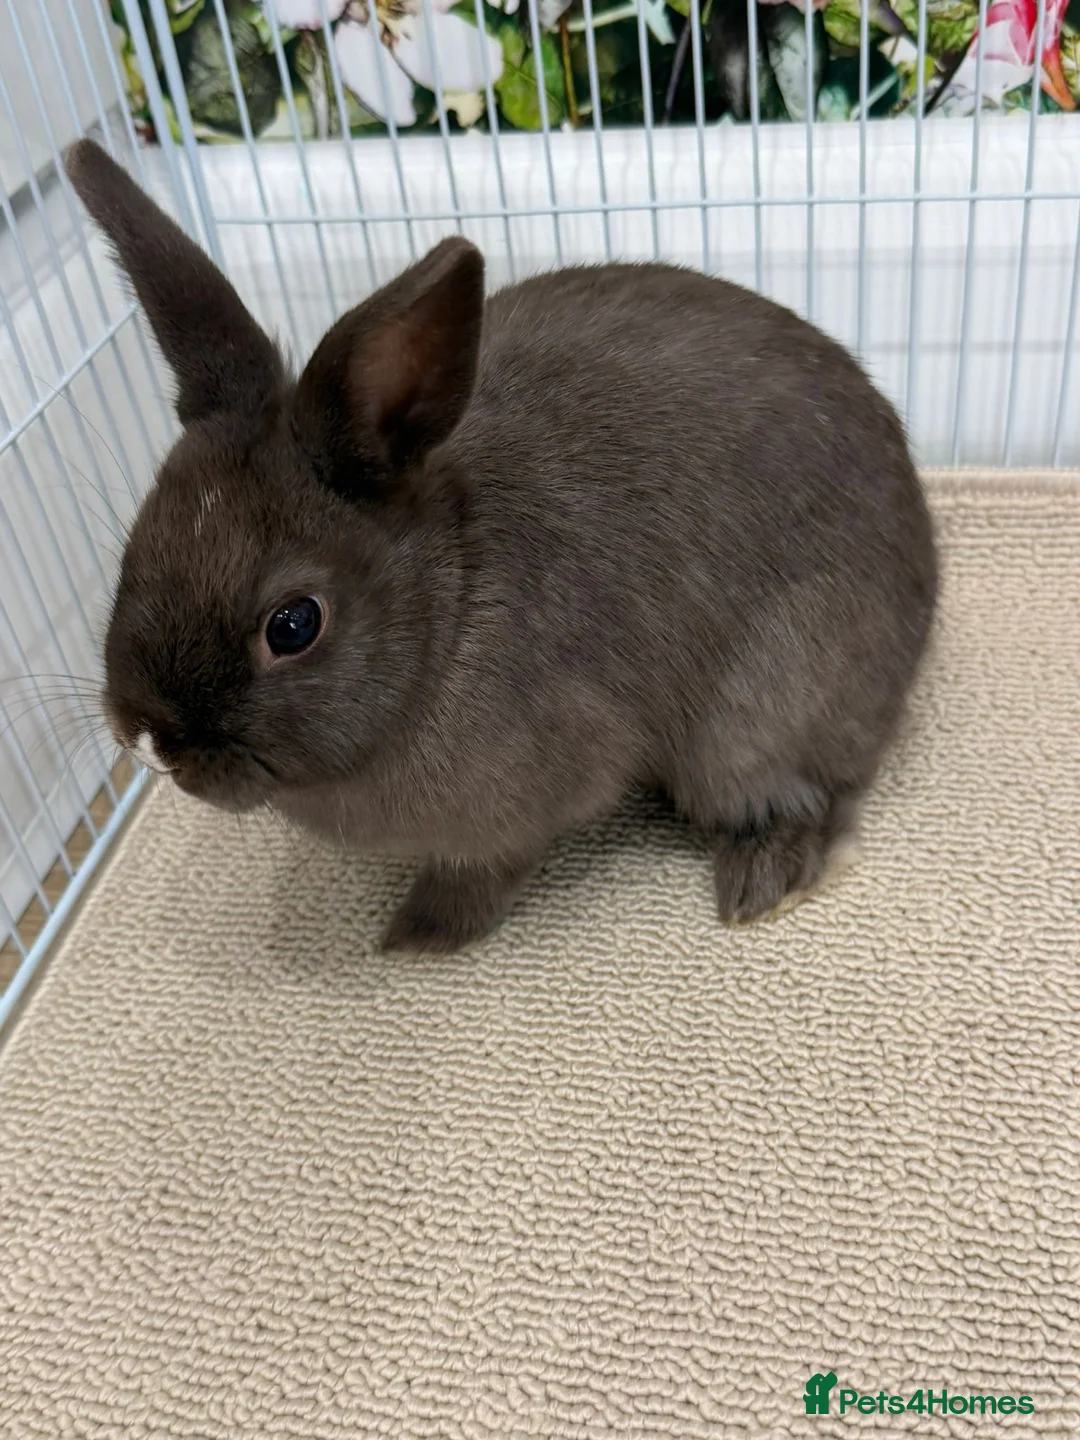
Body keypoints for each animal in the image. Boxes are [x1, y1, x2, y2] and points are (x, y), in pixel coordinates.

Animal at [66, 138, 937, 954]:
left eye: (294, 624)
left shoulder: (527, 804)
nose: (149, 740)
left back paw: (763, 886)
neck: (448, 610)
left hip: (753, 720)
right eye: (135, 550)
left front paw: (419, 937)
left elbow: (485, 871)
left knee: (807, 796)